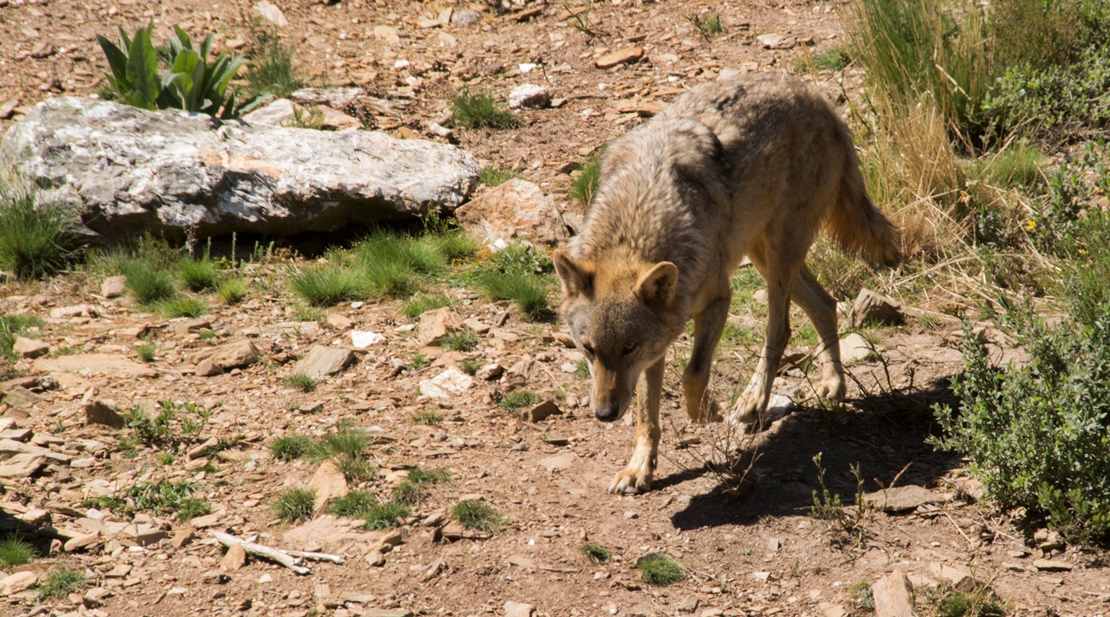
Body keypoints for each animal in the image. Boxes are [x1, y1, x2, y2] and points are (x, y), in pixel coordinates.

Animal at [550, 73, 896, 497]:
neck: (637, 225)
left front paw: (708, 412)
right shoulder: (658, 345)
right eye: (589, 349)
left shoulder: (718, 299)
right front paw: (639, 469)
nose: (603, 414)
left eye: (628, 347)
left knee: (781, 329)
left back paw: (753, 401)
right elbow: (647, 415)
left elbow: (694, 375)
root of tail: (817, 97)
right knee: (825, 304)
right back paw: (834, 384)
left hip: (778, 256)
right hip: (765, 255)